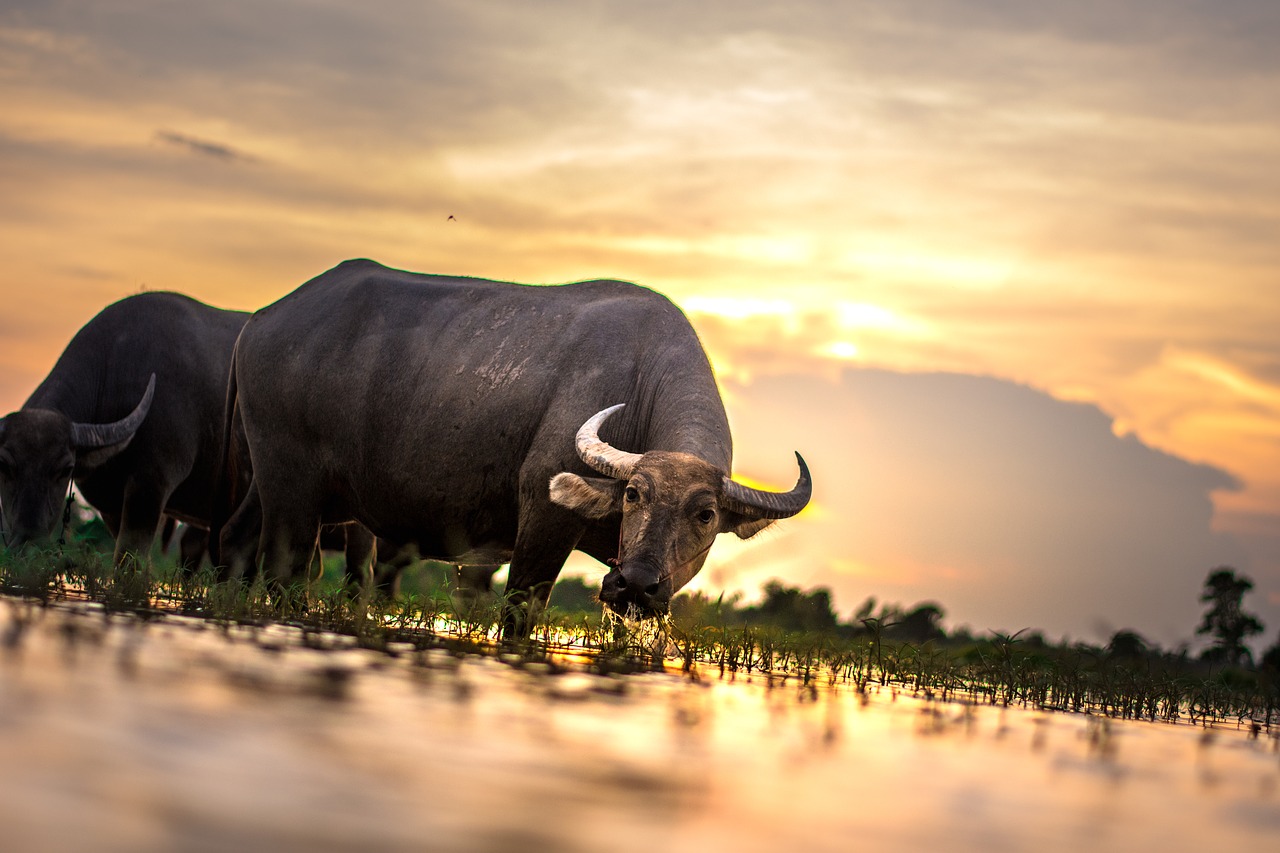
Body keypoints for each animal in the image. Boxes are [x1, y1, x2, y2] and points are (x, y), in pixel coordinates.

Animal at [0, 289, 248, 560]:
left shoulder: (152, 485)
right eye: (4, 466)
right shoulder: (109, 504)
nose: (27, 543)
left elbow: (129, 559)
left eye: (65, 469)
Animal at [220, 258, 808, 630]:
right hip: (292, 490)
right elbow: (519, 615)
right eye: (633, 494)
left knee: (236, 540)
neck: (640, 382)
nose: (636, 584)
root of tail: (262, 319)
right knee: (288, 569)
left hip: (268, 483)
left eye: (705, 514)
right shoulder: (542, 521)